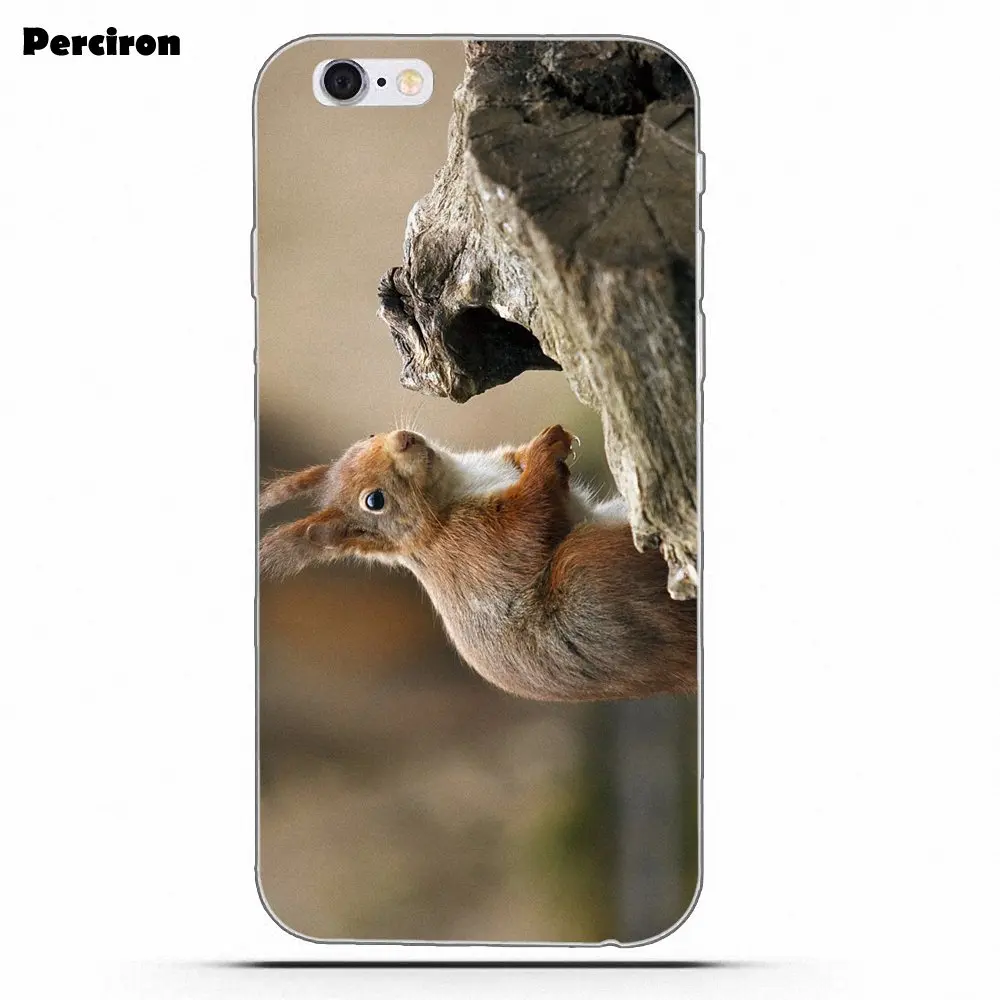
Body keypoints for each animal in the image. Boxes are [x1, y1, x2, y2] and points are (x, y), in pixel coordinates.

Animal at [259, 425, 697, 702]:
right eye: (374, 501)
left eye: (367, 437)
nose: (403, 439)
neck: (455, 484)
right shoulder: (476, 547)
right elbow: (530, 524)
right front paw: (543, 455)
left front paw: (545, 443)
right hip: (589, 573)